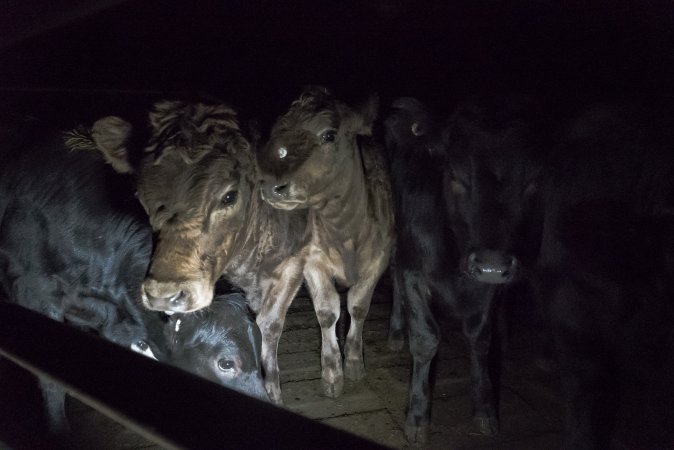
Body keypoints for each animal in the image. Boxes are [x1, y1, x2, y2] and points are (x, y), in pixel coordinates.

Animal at [88, 102, 308, 404]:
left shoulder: (295, 264)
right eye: (142, 197)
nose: (164, 295)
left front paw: (273, 390)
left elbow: (270, 325)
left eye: (229, 196)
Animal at [256, 86, 394, 400]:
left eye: (329, 135)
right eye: (278, 133)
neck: (347, 230)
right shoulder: (313, 262)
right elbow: (328, 312)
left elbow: (358, 306)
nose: (271, 185)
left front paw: (354, 362)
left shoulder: (380, 258)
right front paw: (332, 373)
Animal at [380, 96, 544, 442]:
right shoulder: (415, 271)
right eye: (455, 175)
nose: (492, 265)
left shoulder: (487, 283)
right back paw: (396, 331)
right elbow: (426, 339)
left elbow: (480, 338)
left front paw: (484, 409)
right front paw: (417, 416)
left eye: (532, 182)